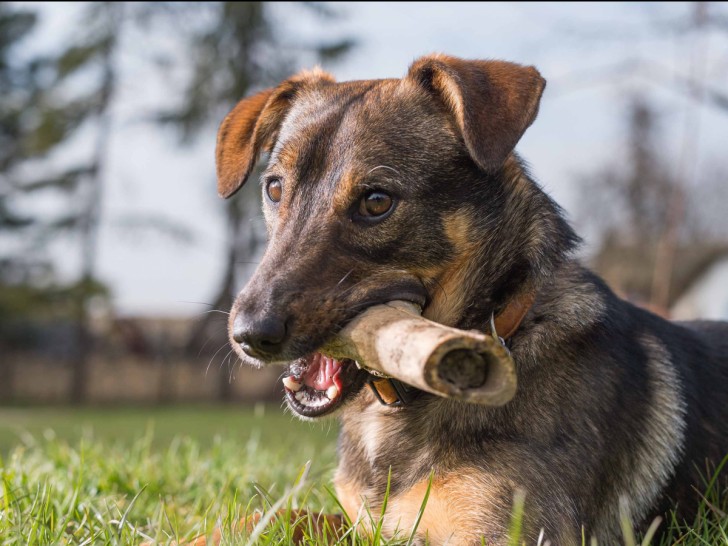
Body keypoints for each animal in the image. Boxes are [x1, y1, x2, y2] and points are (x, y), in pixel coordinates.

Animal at [213, 53, 728, 540]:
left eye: (376, 201)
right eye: (274, 188)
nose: (249, 336)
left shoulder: (510, 532)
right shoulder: (362, 523)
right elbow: (265, 518)